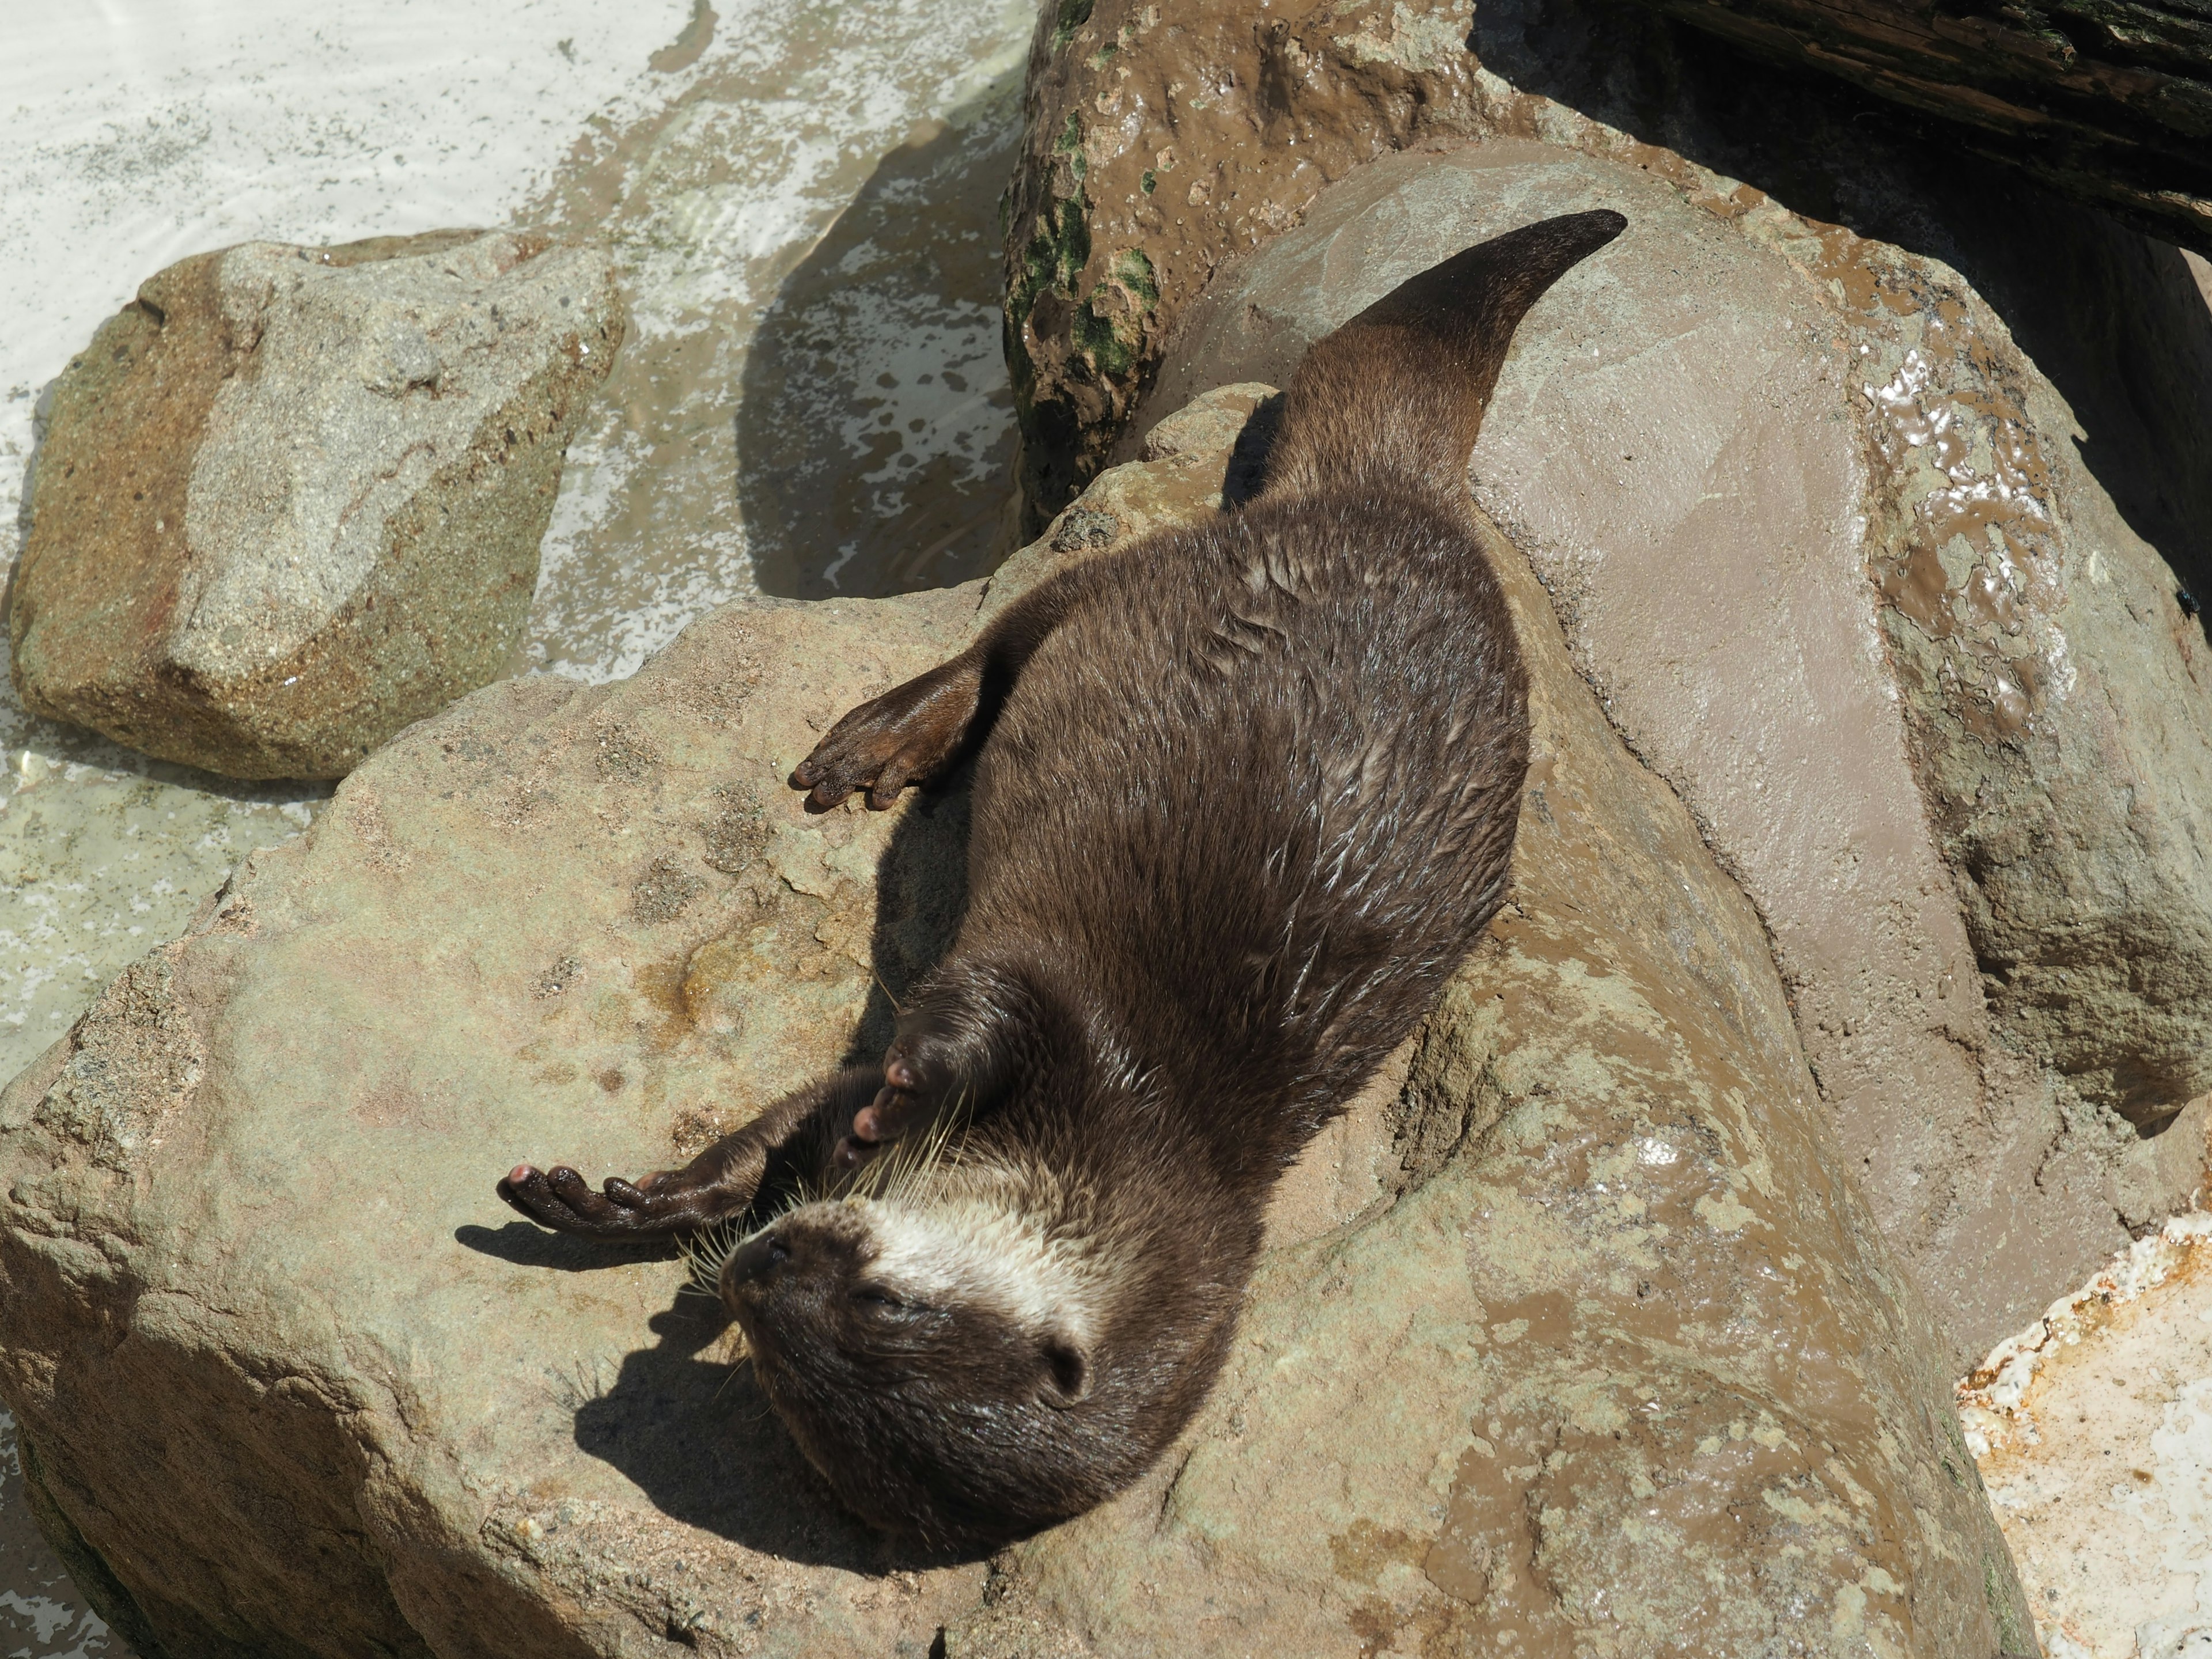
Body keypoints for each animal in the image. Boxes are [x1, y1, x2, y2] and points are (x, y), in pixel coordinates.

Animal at [498, 211, 1628, 1557]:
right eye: (890, 1302)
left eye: (810, 1374)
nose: (758, 1275)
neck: (1125, 1137)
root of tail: (1414, 507)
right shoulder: (1062, 1026)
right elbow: (918, 1056)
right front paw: (635, 1198)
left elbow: (800, 1137)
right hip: (1146, 580)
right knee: (1009, 631)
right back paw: (877, 743)